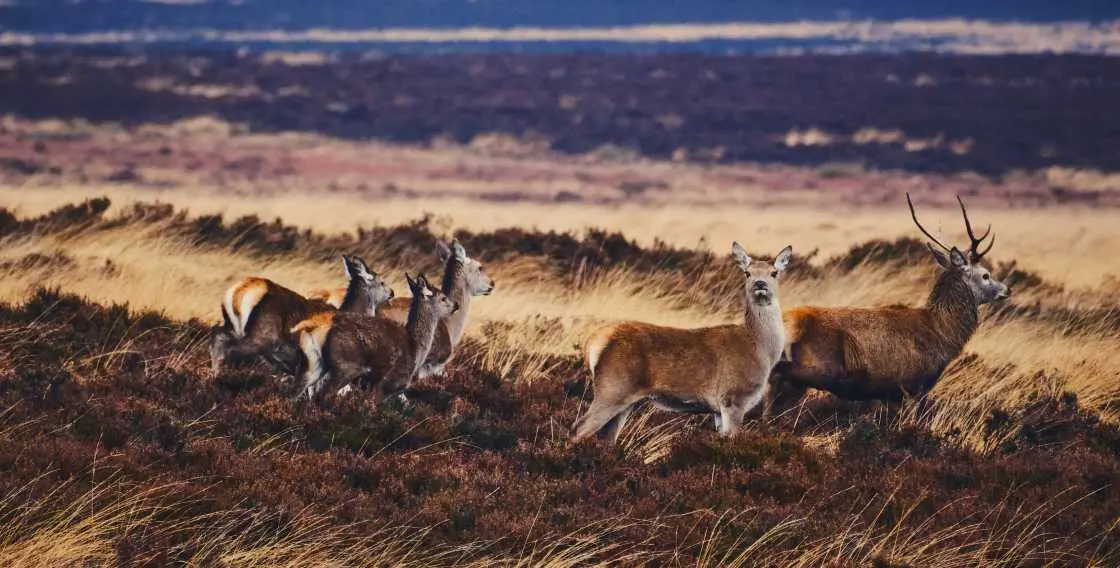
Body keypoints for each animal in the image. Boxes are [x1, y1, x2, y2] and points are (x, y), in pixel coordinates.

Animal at [210, 255, 394, 377]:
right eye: (382, 282)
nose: (392, 292)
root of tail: (237, 292)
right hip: (263, 335)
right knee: (227, 348)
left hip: (232, 326)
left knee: (217, 334)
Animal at [294, 273, 459, 404]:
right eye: (443, 298)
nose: (456, 305)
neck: (416, 347)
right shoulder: (386, 385)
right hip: (345, 367)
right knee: (320, 396)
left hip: (315, 364)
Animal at [571, 243, 793, 444]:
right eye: (747, 273)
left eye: (774, 273)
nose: (760, 284)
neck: (761, 350)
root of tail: (595, 341)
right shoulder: (734, 396)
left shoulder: (718, 409)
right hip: (613, 387)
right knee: (578, 428)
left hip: (623, 400)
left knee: (606, 438)